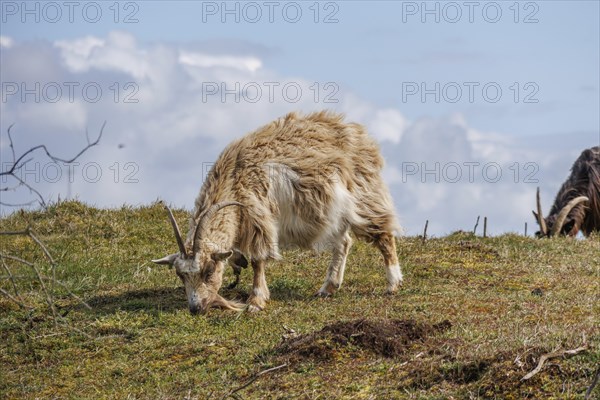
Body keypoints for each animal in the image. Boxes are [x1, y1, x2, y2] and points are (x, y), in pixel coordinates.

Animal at [152, 111, 400, 314]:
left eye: (209, 271)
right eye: (181, 275)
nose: (196, 308)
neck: (232, 177)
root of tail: (357, 133)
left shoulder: (257, 216)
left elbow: (258, 260)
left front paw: (256, 301)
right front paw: (238, 263)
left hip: (363, 195)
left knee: (383, 234)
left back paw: (393, 283)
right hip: (334, 212)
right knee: (344, 242)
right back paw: (328, 287)